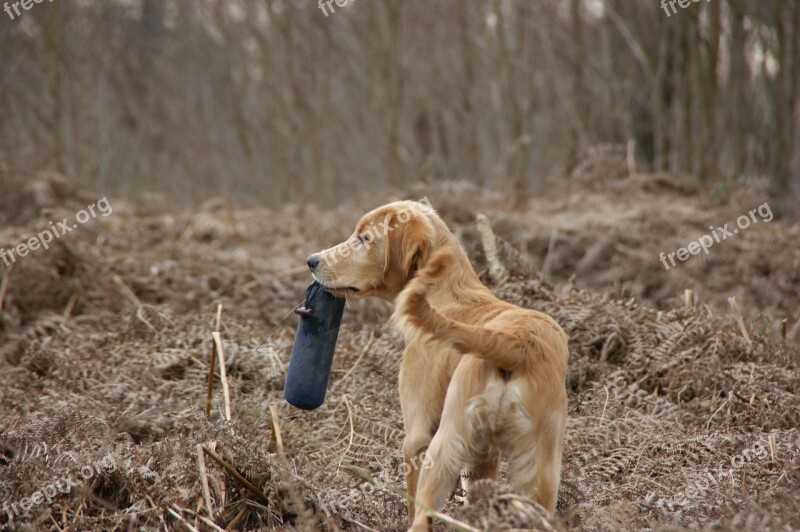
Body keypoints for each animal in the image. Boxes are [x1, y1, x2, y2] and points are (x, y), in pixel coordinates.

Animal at [306, 200, 568, 528]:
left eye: (364, 238)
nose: (311, 260)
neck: (447, 293)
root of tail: (516, 343)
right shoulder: (484, 458)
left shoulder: (416, 437)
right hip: (540, 472)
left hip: (443, 447)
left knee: (421, 517)